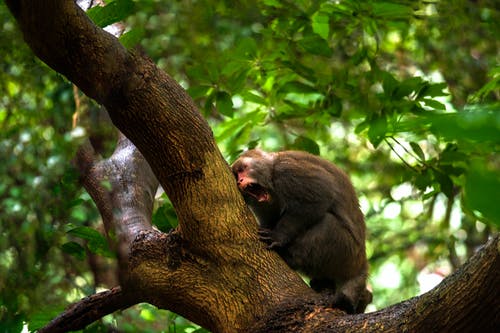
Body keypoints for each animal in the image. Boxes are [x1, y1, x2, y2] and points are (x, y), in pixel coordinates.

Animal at [231, 149, 372, 312]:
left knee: (328, 223)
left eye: (243, 169)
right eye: (236, 174)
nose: (240, 181)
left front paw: (277, 236)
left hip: (347, 253)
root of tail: (362, 261)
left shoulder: (288, 171)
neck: (271, 174)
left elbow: (319, 198)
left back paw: (289, 257)